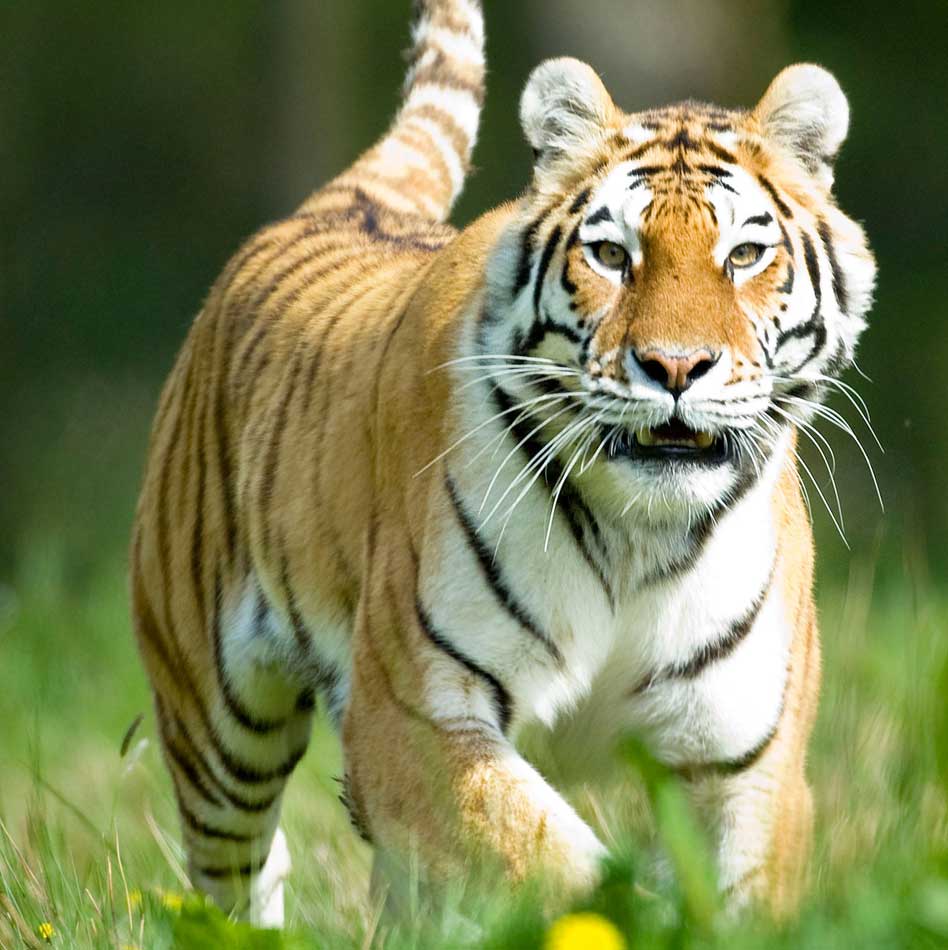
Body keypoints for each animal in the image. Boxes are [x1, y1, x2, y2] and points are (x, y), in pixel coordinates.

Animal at [130, 0, 876, 928]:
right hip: (214, 724)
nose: (674, 368)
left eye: (743, 255)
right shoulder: (415, 718)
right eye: (612, 255)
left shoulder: (746, 761)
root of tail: (339, 206)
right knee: (238, 873)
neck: (640, 533)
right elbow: (556, 866)